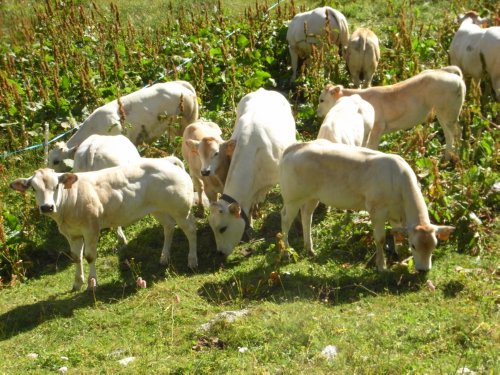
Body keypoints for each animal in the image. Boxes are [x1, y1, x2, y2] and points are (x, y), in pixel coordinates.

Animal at [9, 159, 197, 290]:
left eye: (56, 186)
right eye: (33, 188)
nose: (47, 207)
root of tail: (168, 161)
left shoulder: (91, 229)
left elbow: (90, 256)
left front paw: (92, 283)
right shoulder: (71, 234)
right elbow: (76, 257)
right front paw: (77, 283)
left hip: (181, 210)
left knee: (190, 230)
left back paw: (192, 261)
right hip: (158, 209)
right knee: (169, 226)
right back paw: (164, 257)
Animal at [280, 141, 456, 274]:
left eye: (434, 245)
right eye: (414, 245)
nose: (423, 270)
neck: (398, 182)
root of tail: (293, 148)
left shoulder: (395, 214)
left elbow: (397, 234)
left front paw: (398, 256)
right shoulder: (377, 210)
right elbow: (380, 238)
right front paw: (382, 267)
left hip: (312, 196)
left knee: (306, 215)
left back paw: (309, 249)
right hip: (292, 198)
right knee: (285, 219)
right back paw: (287, 251)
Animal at [318, 67, 466, 160]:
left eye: (321, 100)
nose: (318, 112)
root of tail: (450, 74)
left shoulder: (376, 129)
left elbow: (371, 148)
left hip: (449, 113)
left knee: (457, 133)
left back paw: (455, 158)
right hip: (443, 115)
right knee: (449, 134)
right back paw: (447, 157)